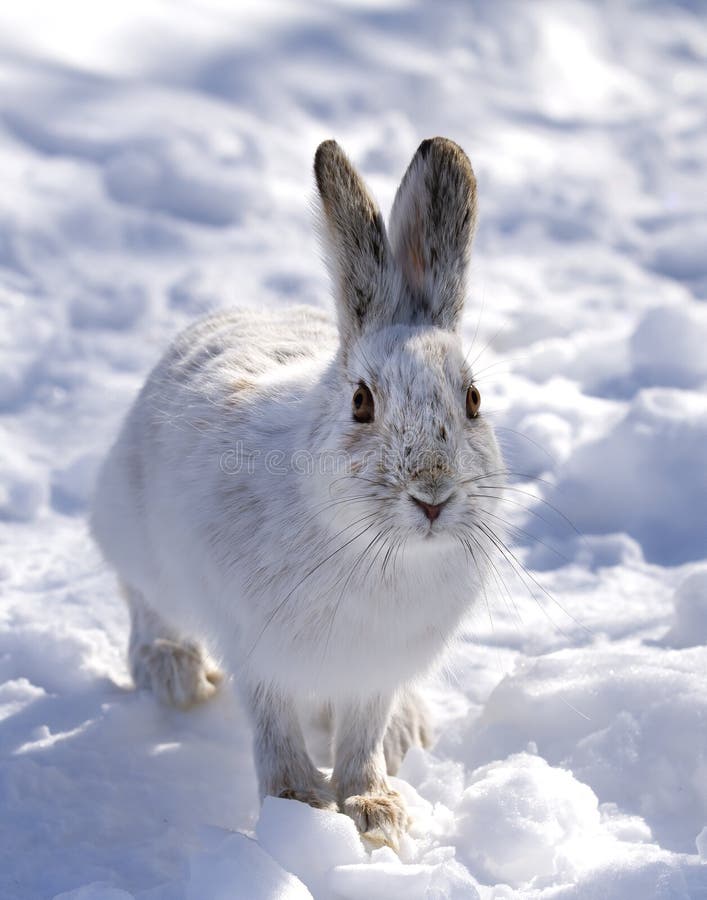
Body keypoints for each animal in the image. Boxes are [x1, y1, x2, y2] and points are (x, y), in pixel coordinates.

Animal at [91, 137, 503, 850]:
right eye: (362, 403)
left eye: (474, 399)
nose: (433, 495)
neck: (377, 549)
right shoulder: (258, 649)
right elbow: (274, 726)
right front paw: (299, 806)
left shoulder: (374, 670)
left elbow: (362, 735)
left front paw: (376, 813)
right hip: (133, 526)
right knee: (144, 597)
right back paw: (170, 669)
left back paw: (407, 731)